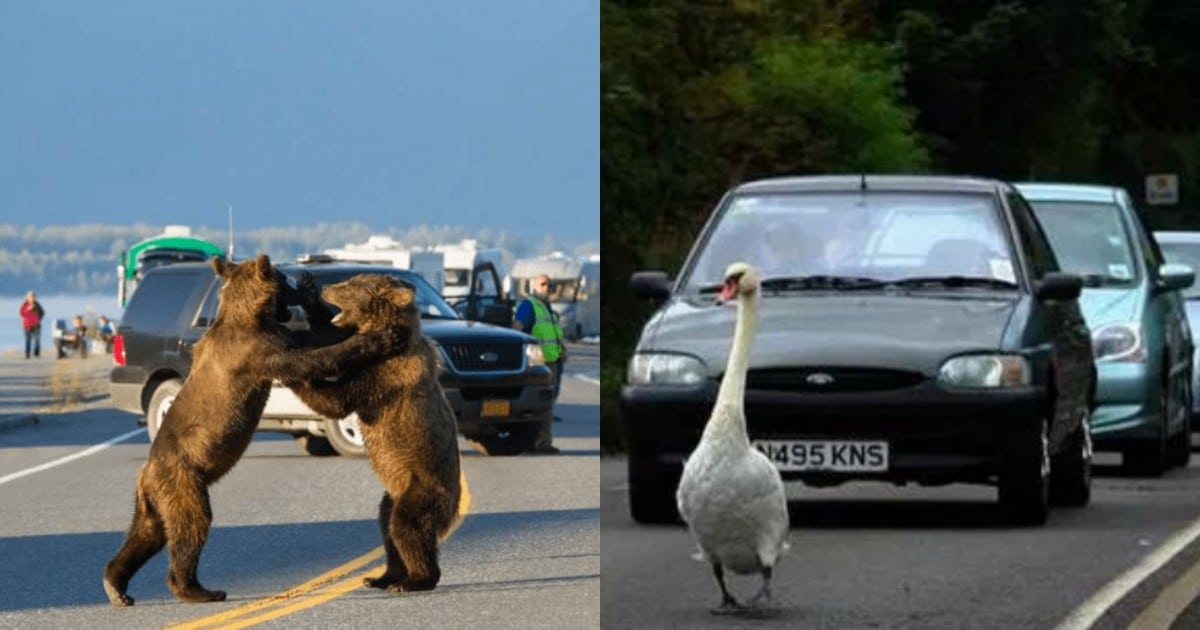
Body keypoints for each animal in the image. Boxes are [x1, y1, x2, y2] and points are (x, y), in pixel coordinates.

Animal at [104, 254, 403, 604]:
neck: (249, 314)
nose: (296, 283)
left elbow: (320, 336)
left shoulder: (277, 333)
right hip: (182, 481)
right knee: (191, 525)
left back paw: (116, 584)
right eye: (283, 279)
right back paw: (198, 589)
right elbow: (313, 357)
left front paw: (315, 296)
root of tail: (147, 472)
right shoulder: (260, 350)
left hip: (153, 499)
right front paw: (381, 338)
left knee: (146, 534)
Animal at [283, 272, 465, 592]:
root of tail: (451, 511)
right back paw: (382, 576)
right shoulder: (364, 353)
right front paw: (308, 293)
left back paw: (416, 579)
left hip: (423, 487)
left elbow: (338, 399)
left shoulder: (385, 375)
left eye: (350, 286)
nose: (327, 287)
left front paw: (294, 371)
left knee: (407, 526)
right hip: (394, 492)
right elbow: (333, 337)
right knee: (386, 524)